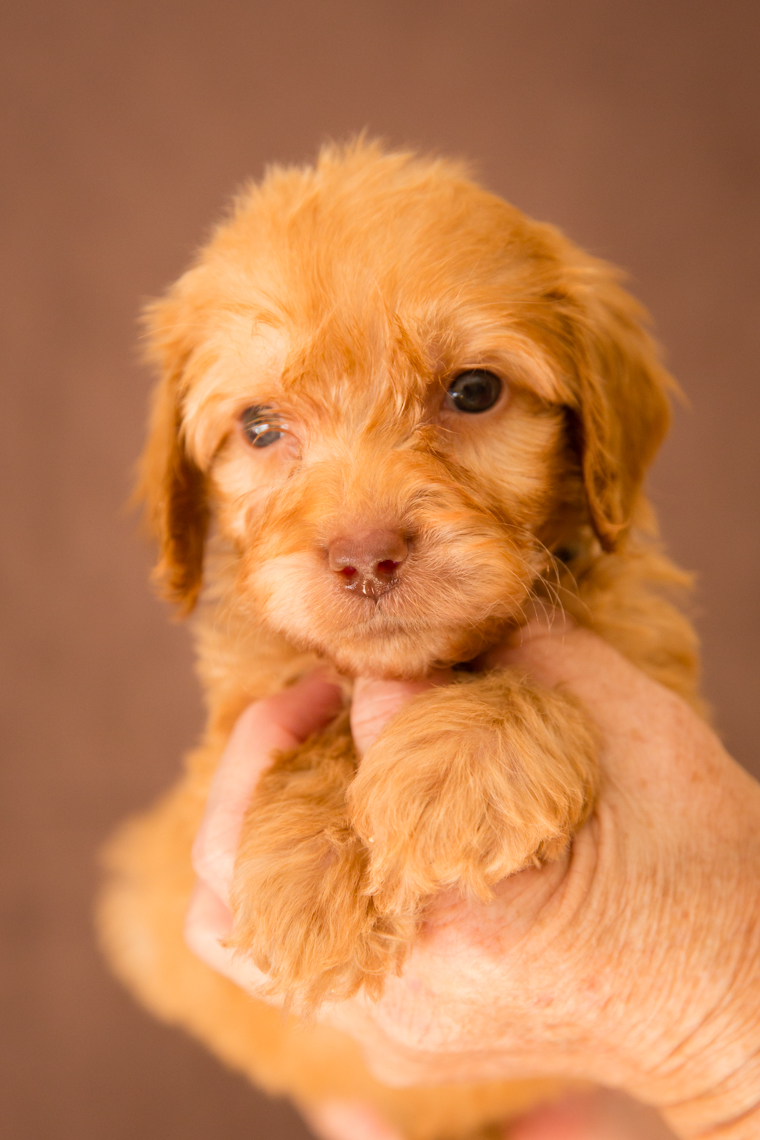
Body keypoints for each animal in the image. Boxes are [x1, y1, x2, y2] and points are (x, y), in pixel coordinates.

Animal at [97, 137, 706, 1135]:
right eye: (259, 426)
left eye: (474, 391)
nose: (365, 557)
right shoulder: (224, 741)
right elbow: (314, 727)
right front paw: (310, 876)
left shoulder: (648, 654)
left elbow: (532, 680)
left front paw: (460, 768)